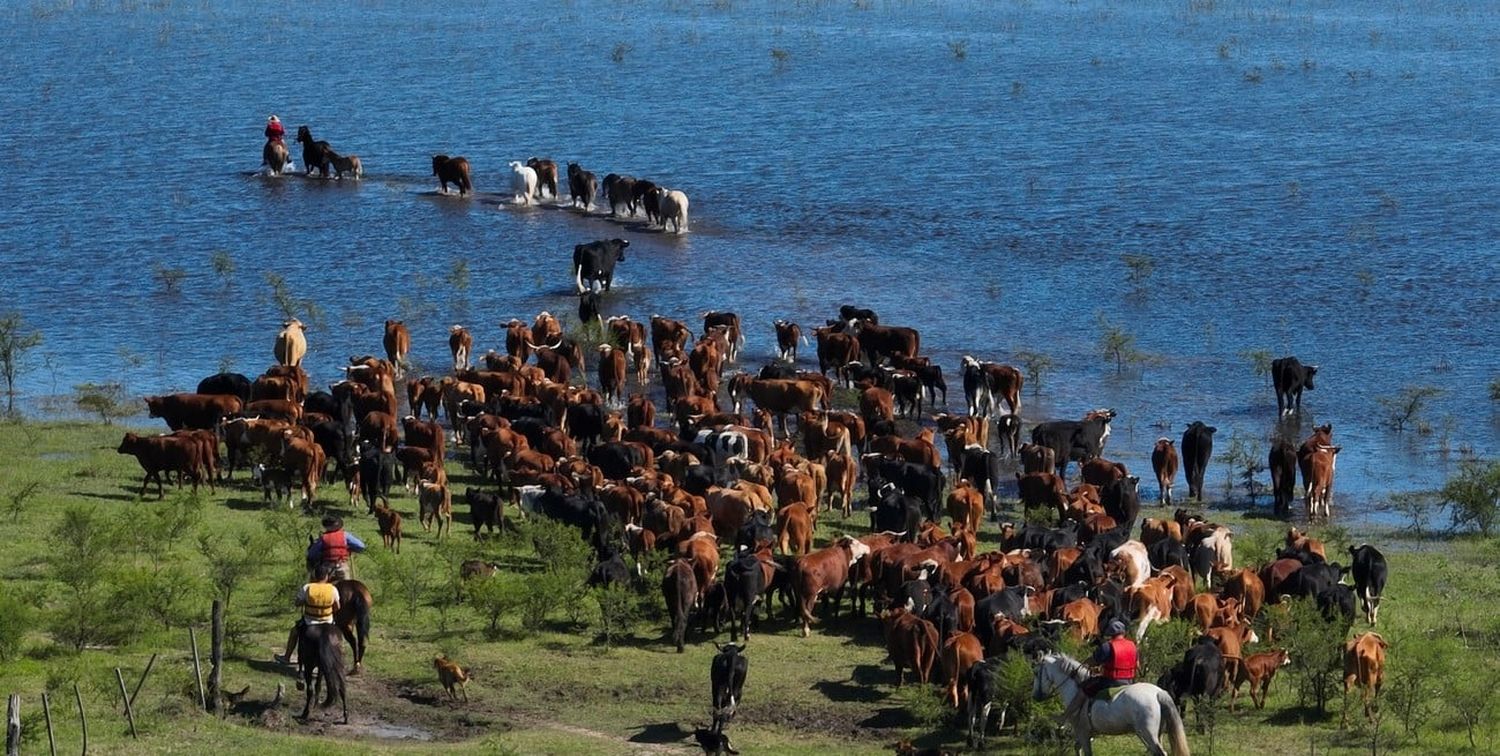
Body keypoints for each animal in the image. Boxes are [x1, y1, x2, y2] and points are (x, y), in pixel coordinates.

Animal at [1026, 654, 1188, 753]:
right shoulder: (1084, 734)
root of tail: (1158, 693)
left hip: (1149, 735)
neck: (1075, 687)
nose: (1036, 696)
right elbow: (1077, 747)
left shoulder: (1084, 733)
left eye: (1036, 672)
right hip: (1156, 734)